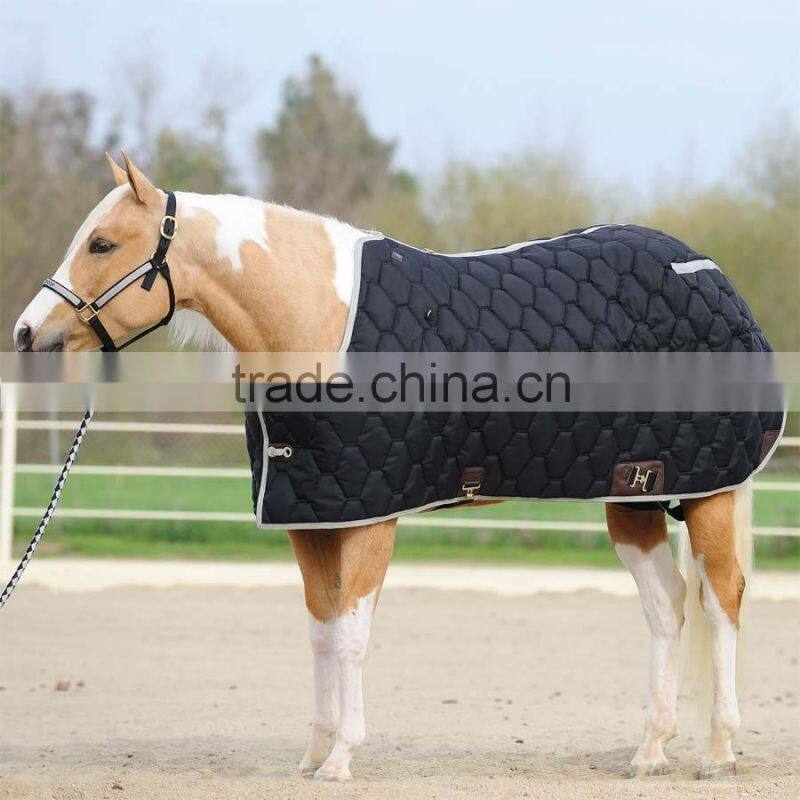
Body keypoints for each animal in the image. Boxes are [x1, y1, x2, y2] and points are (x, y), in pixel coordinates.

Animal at [13, 151, 756, 782]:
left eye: (102, 243)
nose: (26, 333)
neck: (319, 319)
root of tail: (711, 277)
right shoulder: (311, 519)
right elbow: (320, 633)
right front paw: (313, 755)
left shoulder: (373, 518)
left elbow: (351, 636)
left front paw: (342, 758)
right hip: (635, 495)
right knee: (667, 606)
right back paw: (650, 751)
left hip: (707, 494)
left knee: (721, 601)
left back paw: (720, 752)